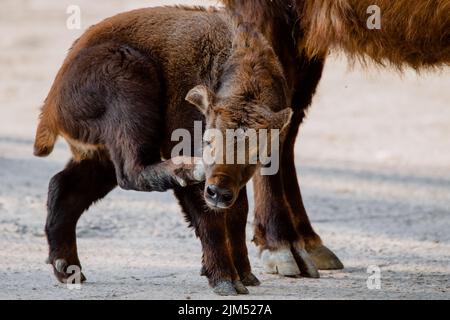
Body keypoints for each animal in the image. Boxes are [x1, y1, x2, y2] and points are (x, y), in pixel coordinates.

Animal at [34, 5, 296, 296]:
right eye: (208, 141)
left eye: (255, 154)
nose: (217, 192)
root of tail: (52, 103)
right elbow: (211, 220)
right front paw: (225, 280)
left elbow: (239, 213)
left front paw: (246, 275)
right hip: (131, 85)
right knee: (130, 172)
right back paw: (187, 169)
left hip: (102, 158)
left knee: (64, 187)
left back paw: (67, 268)